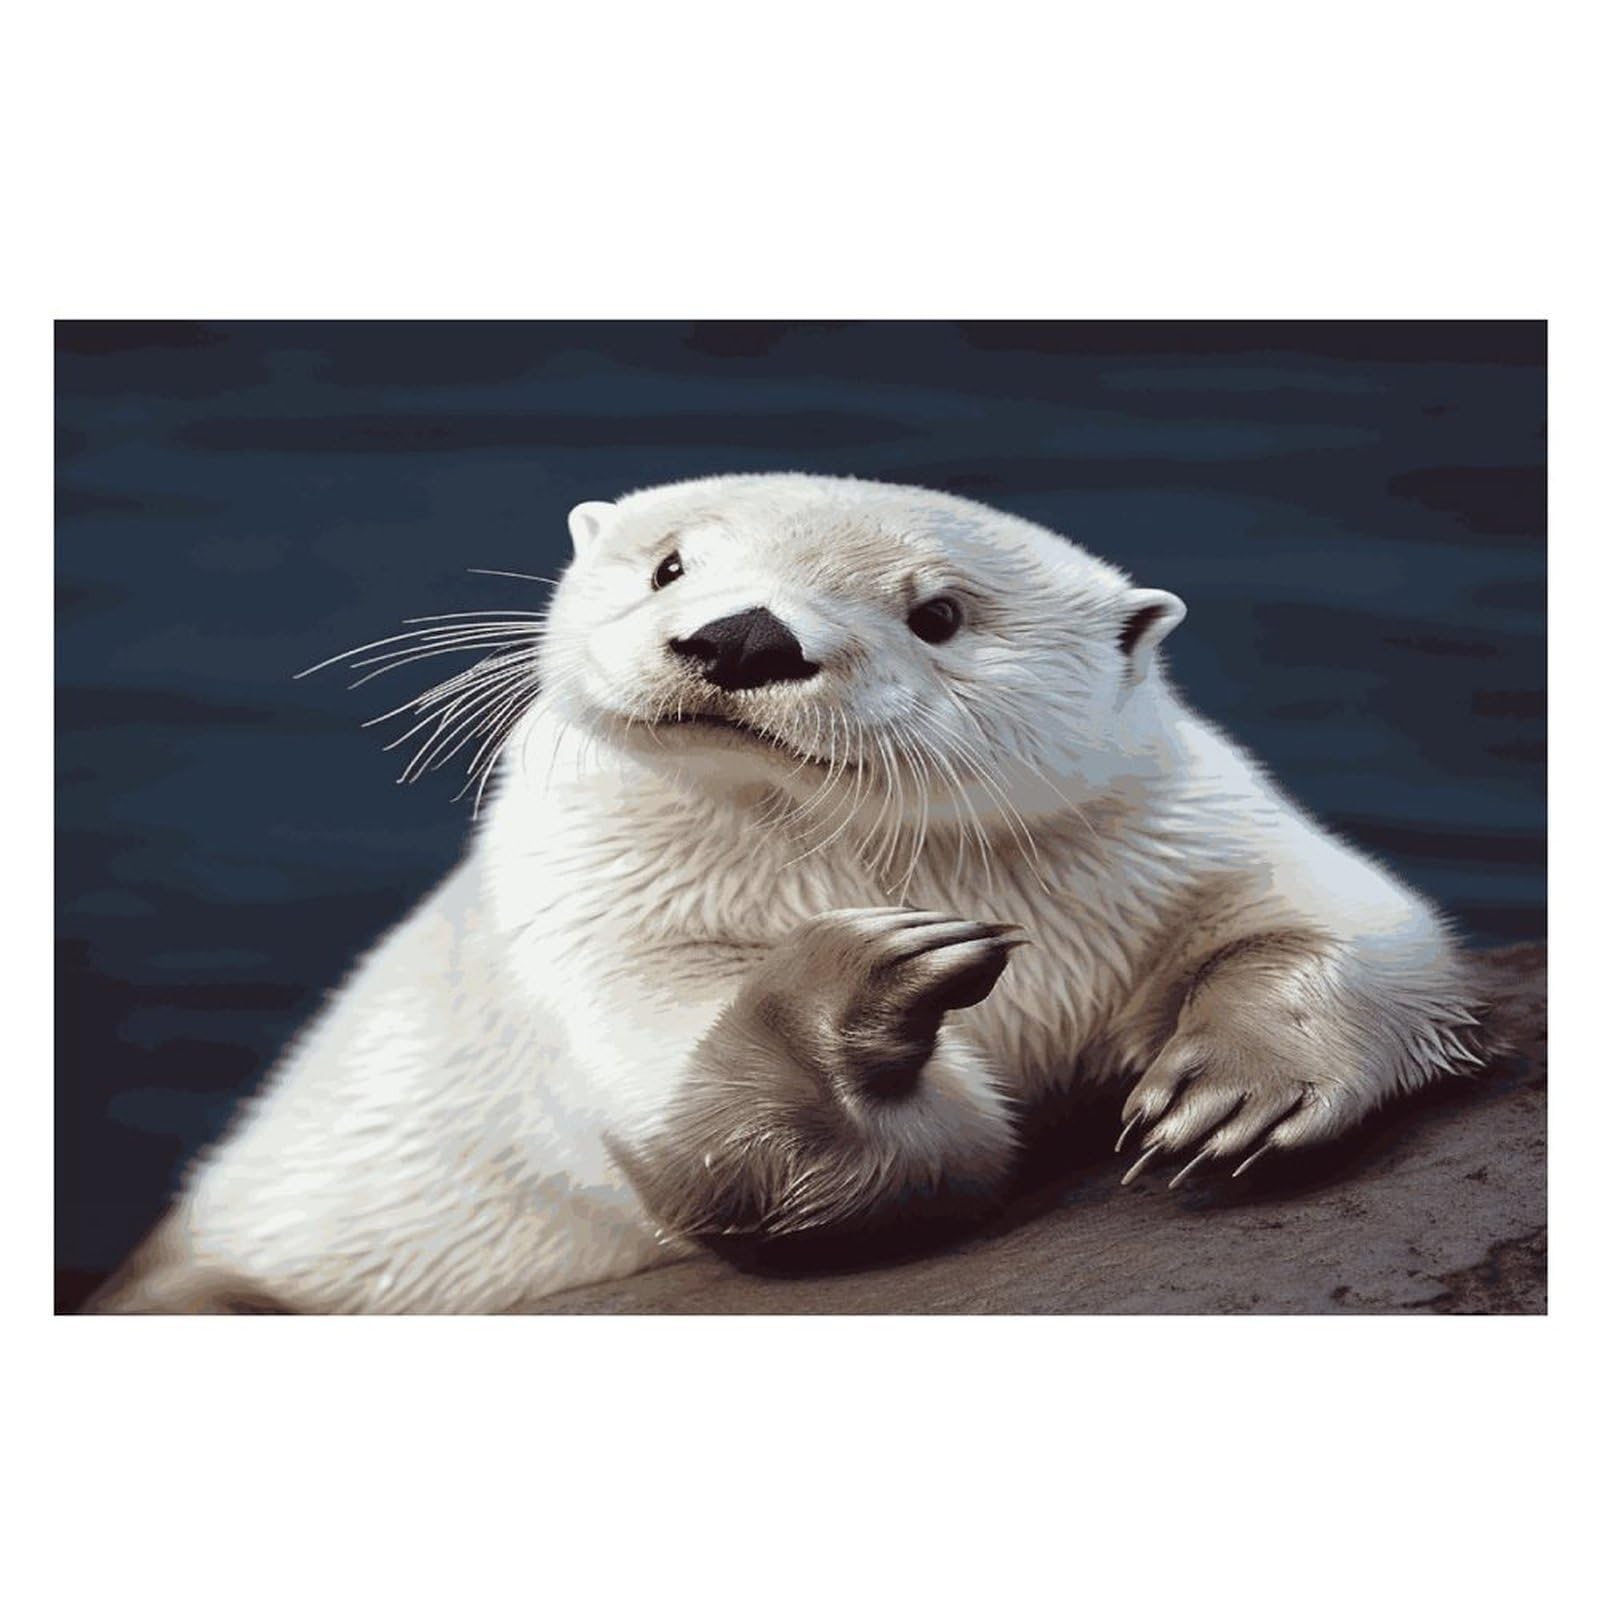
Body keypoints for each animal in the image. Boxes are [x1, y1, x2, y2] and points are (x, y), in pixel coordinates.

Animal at [90, 473, 1482, 1313]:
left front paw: (1232, 1089)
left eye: (938, 613)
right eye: (667, 566)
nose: (742, 632)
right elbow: (767, 1152)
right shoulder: (593, 930)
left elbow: (1352, 924)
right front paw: (868, 981)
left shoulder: (1180, 824)